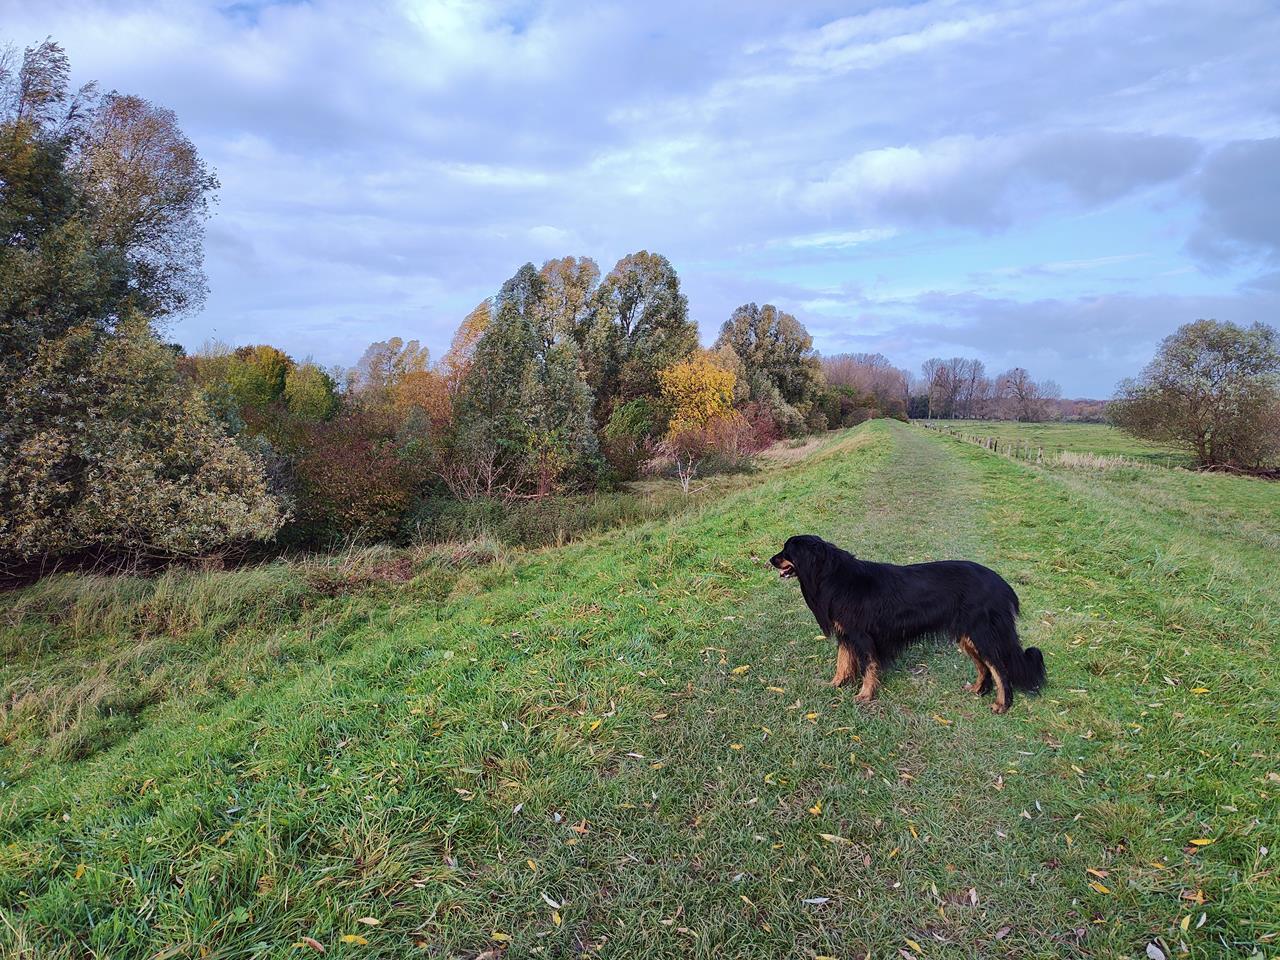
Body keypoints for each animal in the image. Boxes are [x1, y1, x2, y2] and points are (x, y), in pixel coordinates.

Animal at [768, 535, 1045, 713]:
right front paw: (835, 685)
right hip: (968, 636)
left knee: (1000, 669)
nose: (770, 560)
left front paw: (864, 695)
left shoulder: (862, 636)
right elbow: (842, 663)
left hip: (982, 634)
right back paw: (977, 690)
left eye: (787, 550)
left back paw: (1002, 705)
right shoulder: (846, 635)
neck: (833, 576)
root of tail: (1003, 585)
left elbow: (868, 667)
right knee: (985, 667)